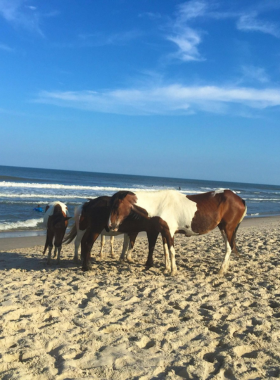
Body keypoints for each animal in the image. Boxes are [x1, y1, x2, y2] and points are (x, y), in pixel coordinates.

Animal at [108, 190, 246, 276]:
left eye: (116, 205)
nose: (110, 226)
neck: (160, 205)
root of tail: (240, 199)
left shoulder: (170, 232)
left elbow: (171, 251)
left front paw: (173, 271)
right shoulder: (164, 232)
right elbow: (166, 251)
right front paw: (167, 269)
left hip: (228, 228)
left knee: (229, 248)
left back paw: (221, 271)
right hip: (223, 228)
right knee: (229, 247)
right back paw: (225, 269)